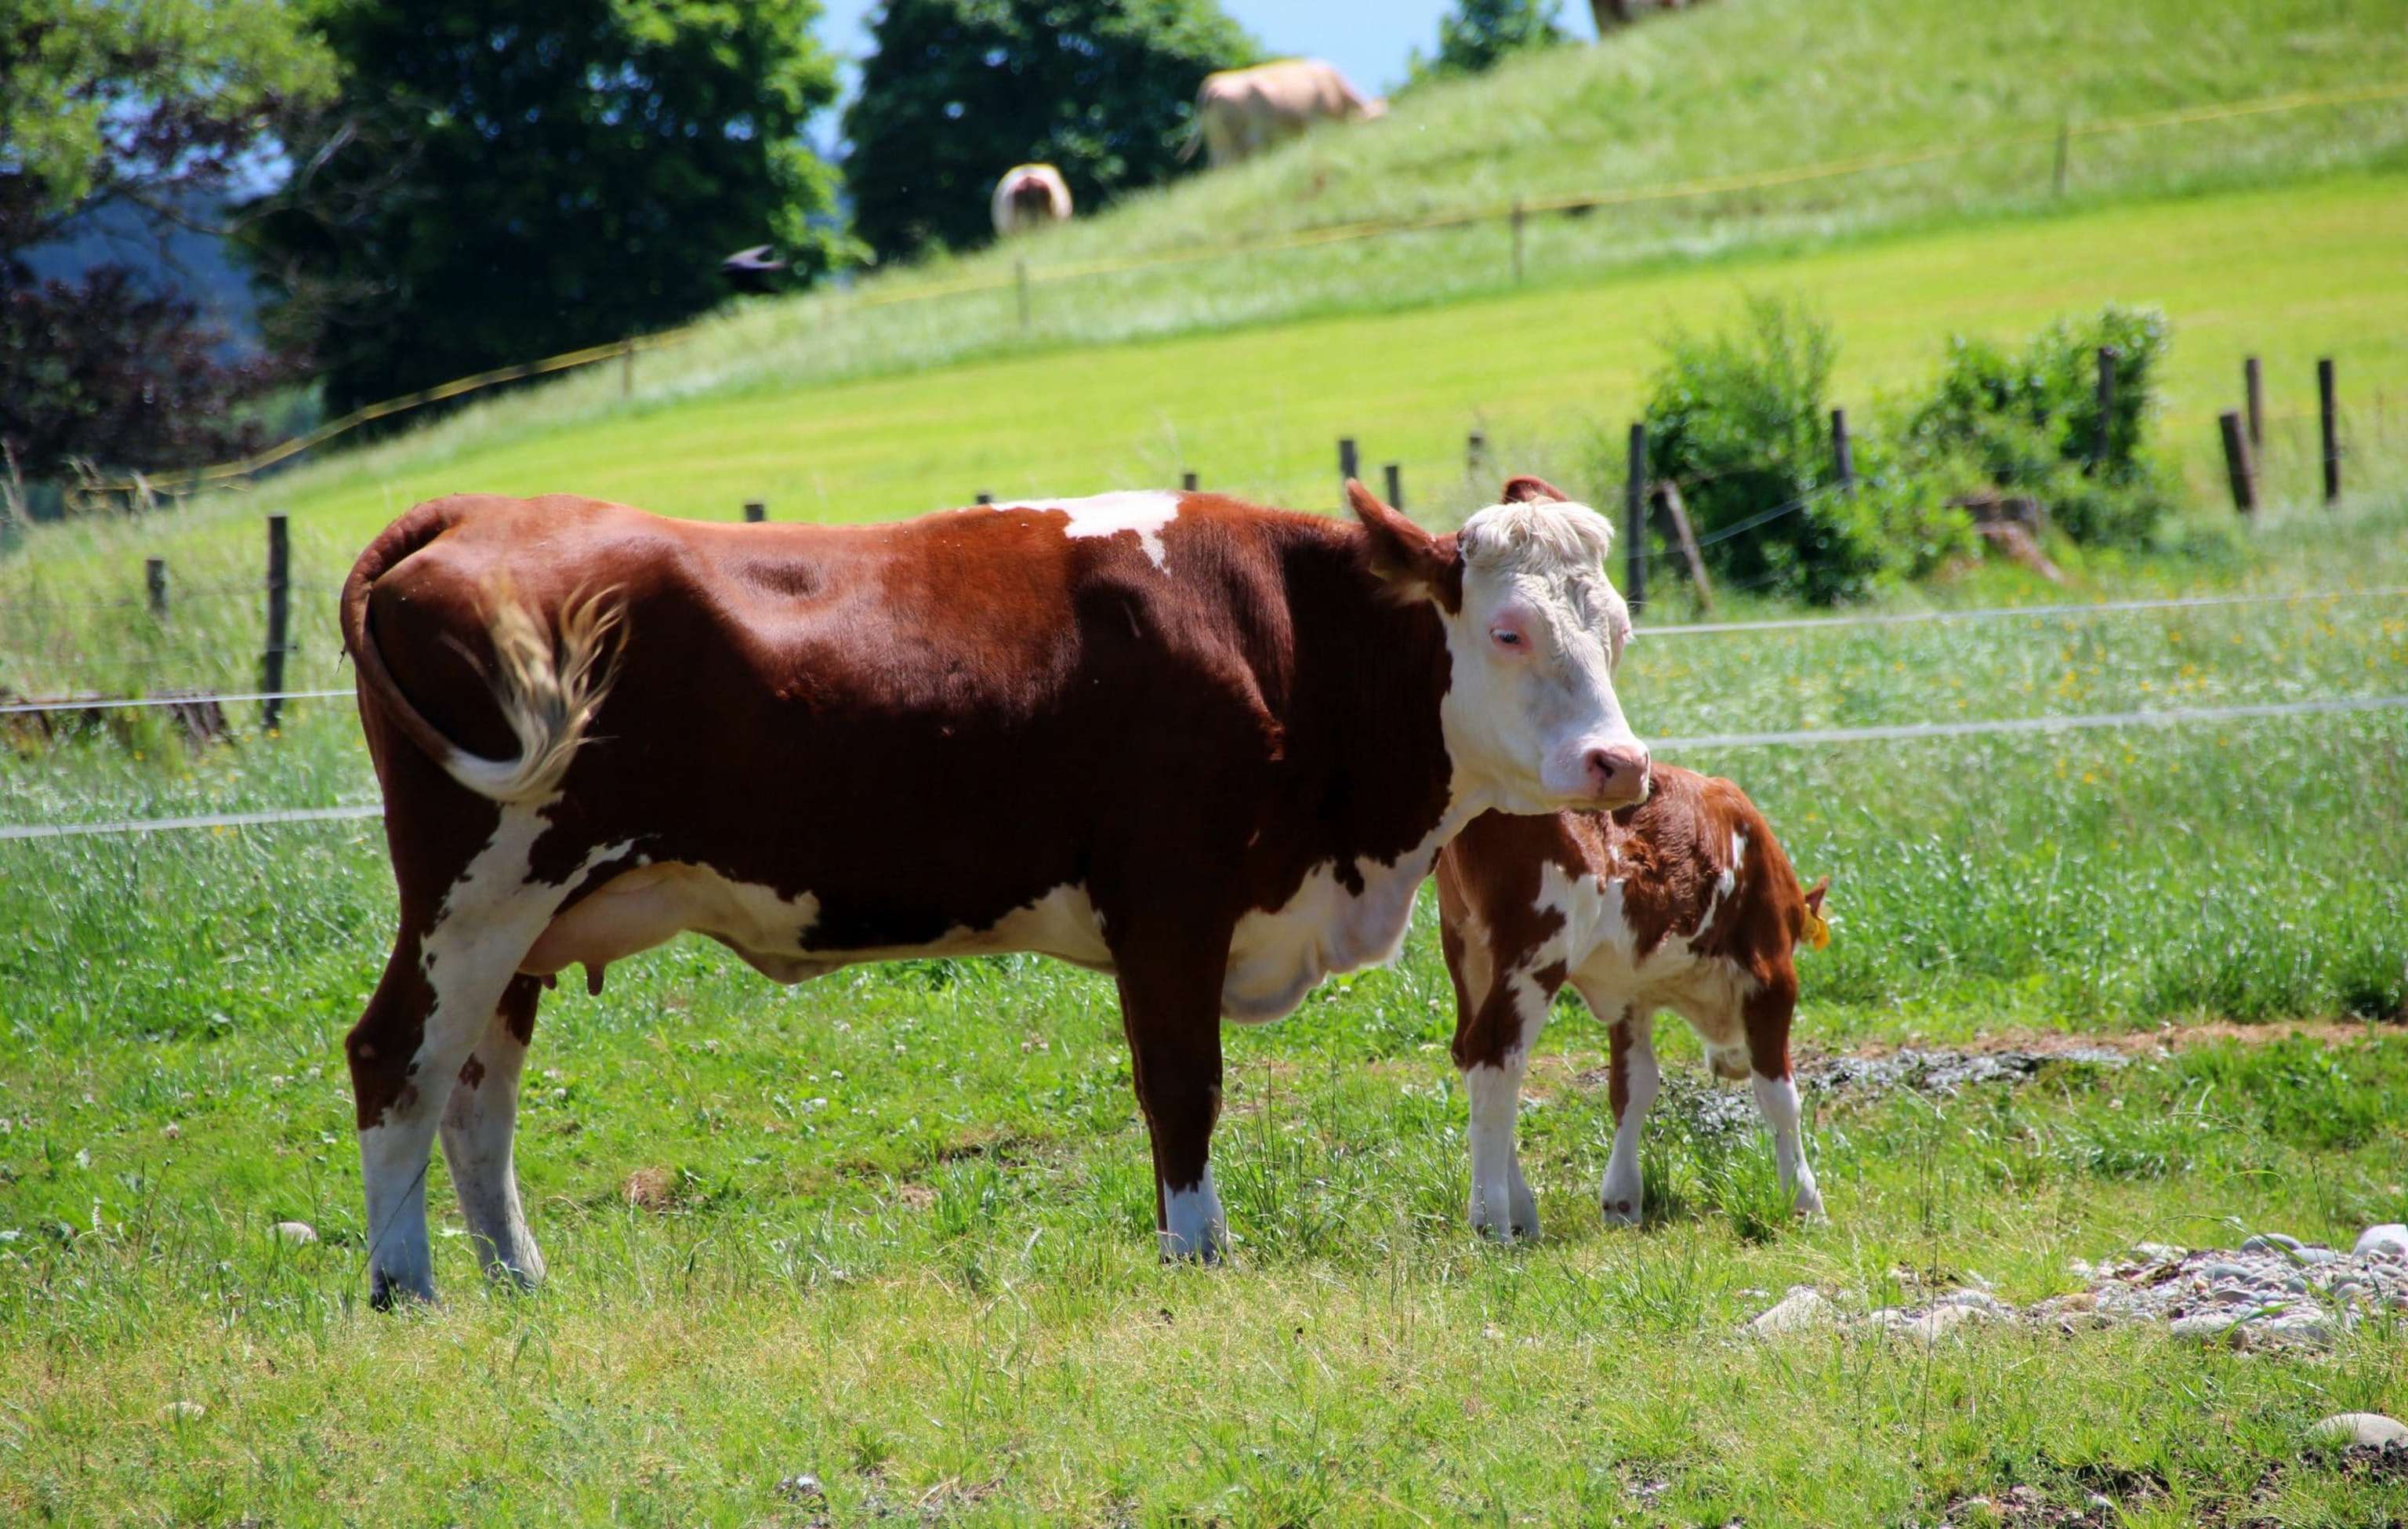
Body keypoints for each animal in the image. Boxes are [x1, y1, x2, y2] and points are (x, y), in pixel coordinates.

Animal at [338, 473, 1650, 1303]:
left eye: (1621, 628)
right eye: (1510, 630)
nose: (1618, 763)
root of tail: (474, 511)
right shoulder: (1168, 903)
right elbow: (1183, 1088)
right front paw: (1198, 1250)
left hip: (519, 922)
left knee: (475, 1095)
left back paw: (518, 1278)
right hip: (475, 889)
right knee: (395, 1059)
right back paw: (407, 1285)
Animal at [1435, 764, 1829, 1241]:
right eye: (1793, 948)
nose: (1730, 1061)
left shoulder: (1630, 996)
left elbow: (1633, 1088)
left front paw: (1622, 1201)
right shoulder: (1772, 976)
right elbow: (1780, 1097)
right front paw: (1805, 1201)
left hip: (1467, 944)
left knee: (1469, 1056)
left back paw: (1521, 1213)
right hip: (1536, 954)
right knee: (1494, 1055)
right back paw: (1492, 1222)